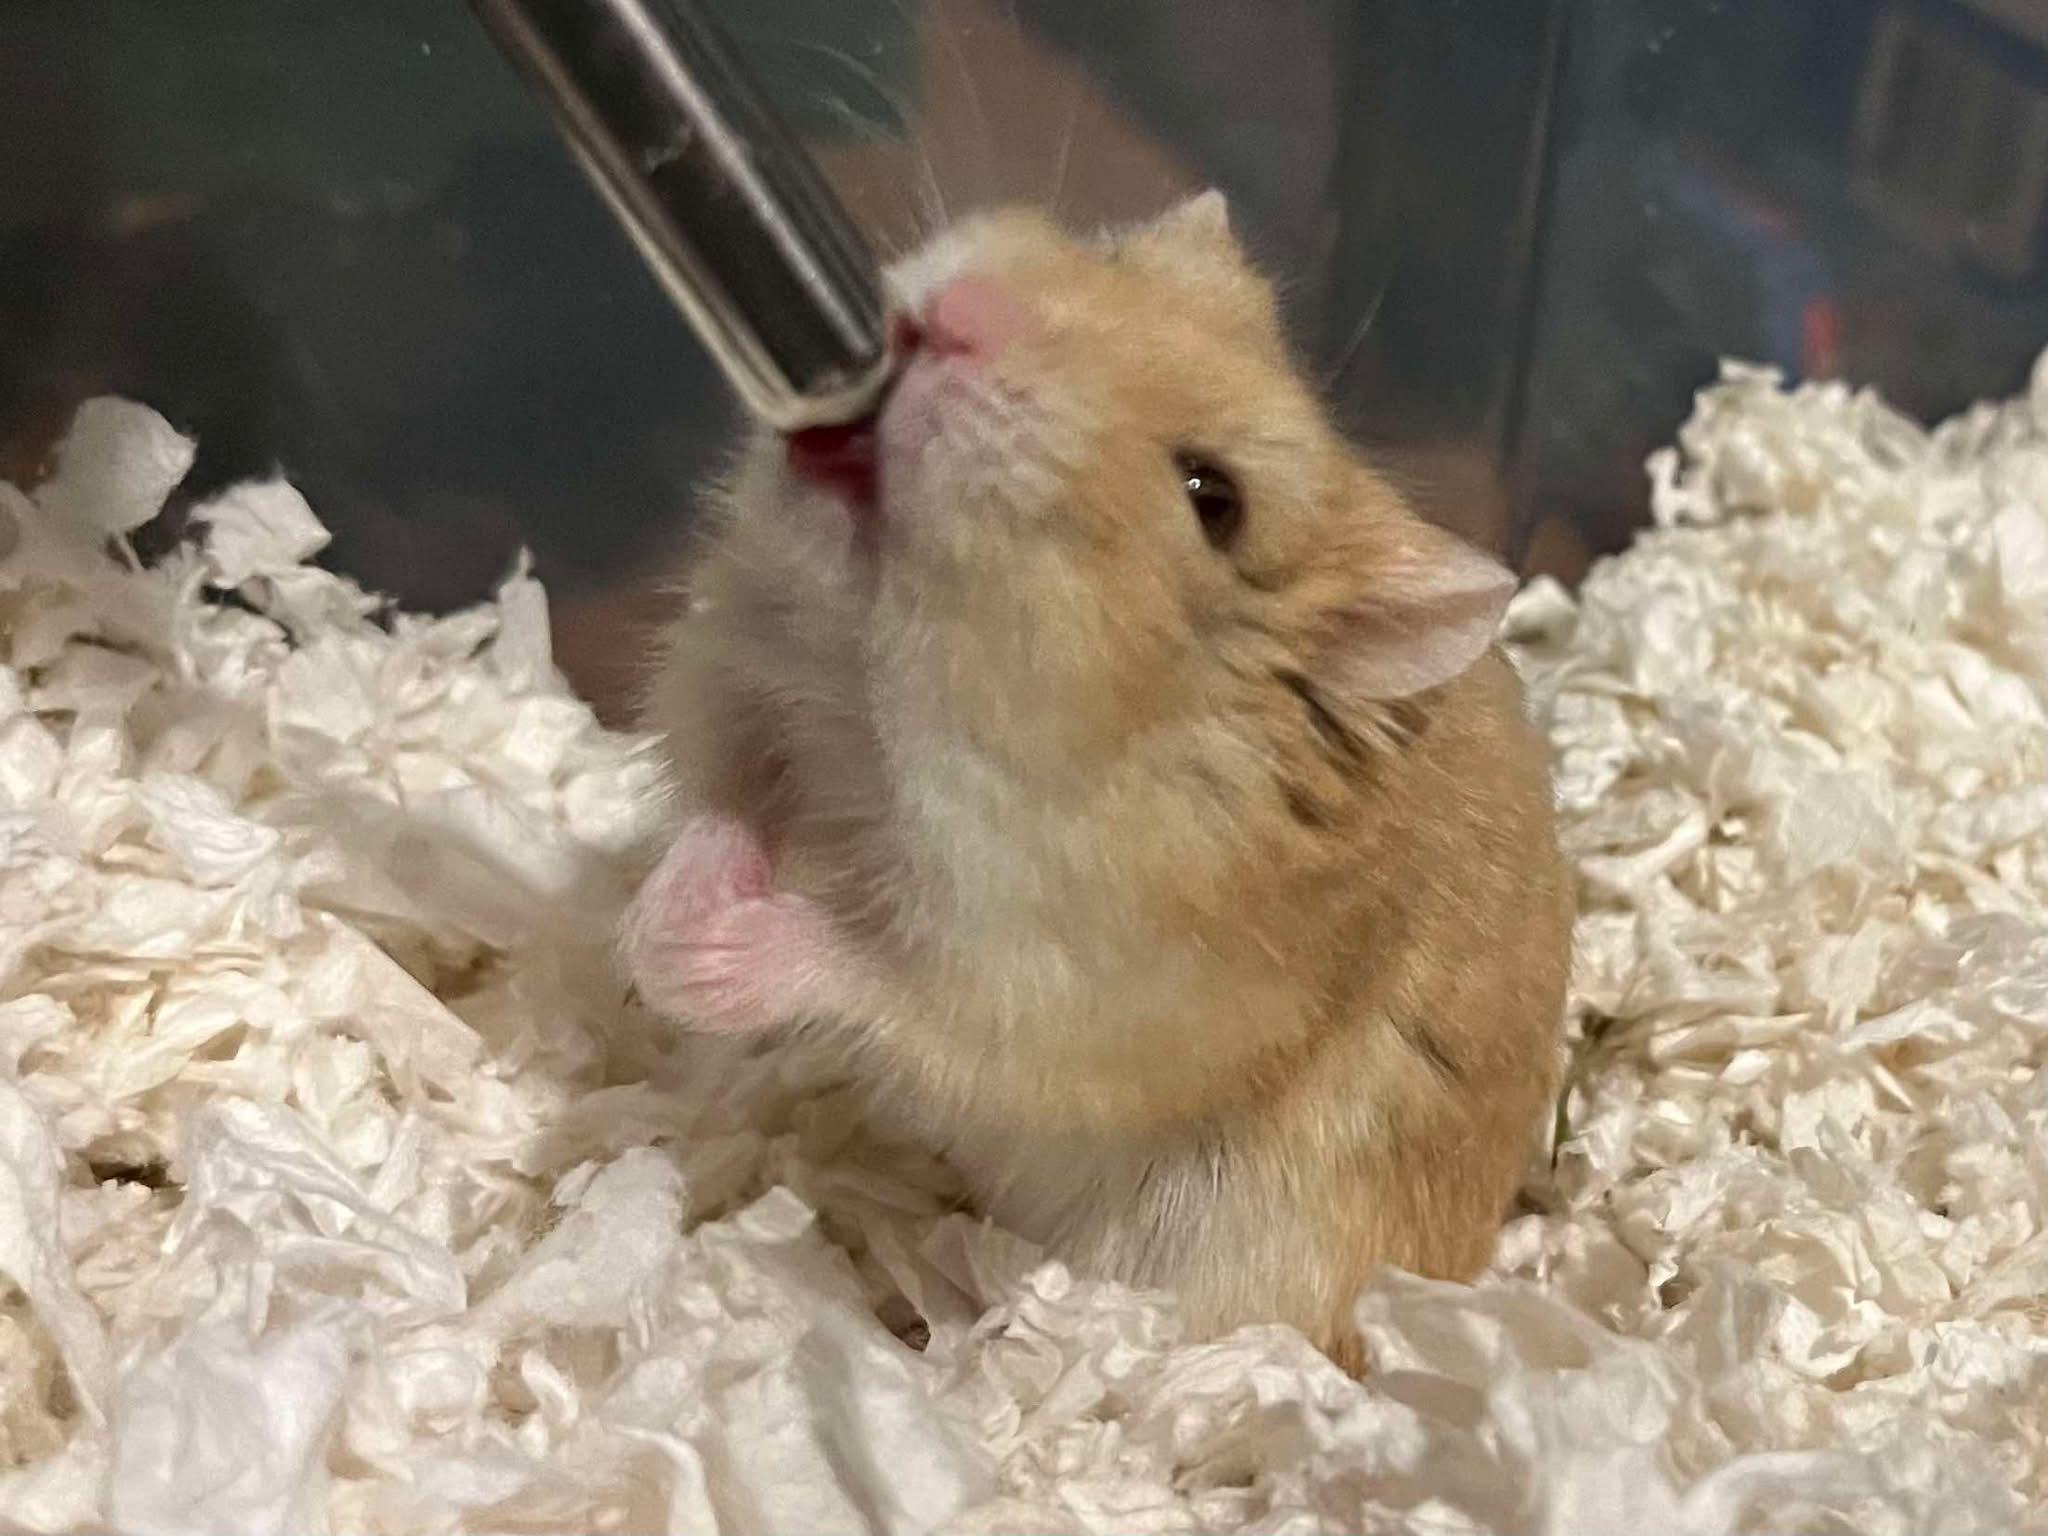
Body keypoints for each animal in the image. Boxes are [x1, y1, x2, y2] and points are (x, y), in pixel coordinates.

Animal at [623, 191, 1573, 1372]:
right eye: (1107, 256)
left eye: (1214, 497)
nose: (950, 320)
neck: (873, 683)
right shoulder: (726, 682)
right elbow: (719, 804)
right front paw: (658, 934)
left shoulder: (1046, 991)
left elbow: (867, 976)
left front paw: (707, 958)